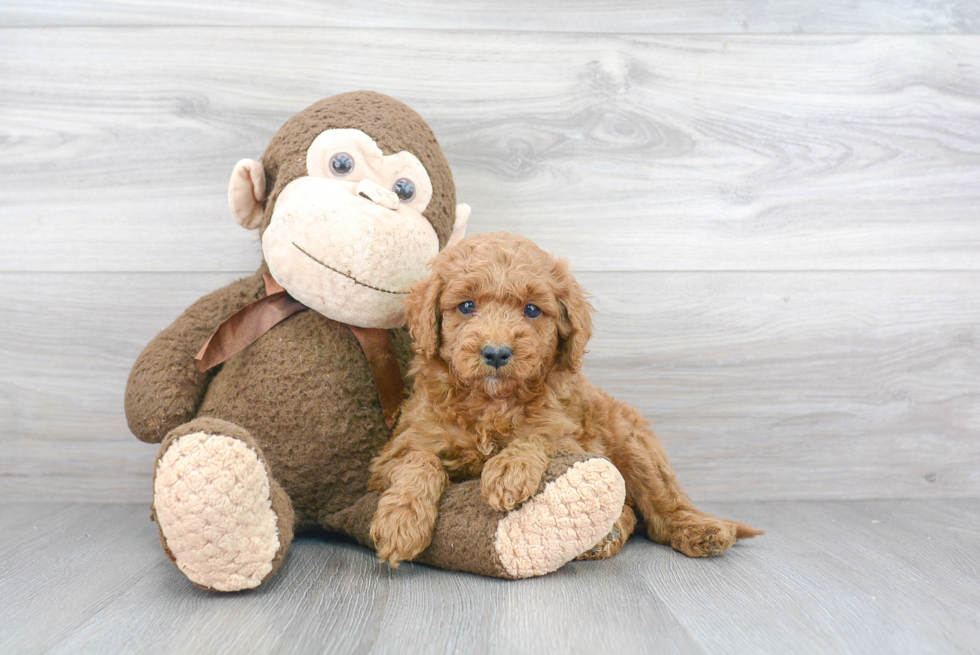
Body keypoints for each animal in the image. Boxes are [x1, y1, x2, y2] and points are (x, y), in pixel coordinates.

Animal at [372, 232, 760, 568]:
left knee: (662, 509)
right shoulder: (394, 453)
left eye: (531, 310)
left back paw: (700, 530)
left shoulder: (570, 436)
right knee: (631, 512)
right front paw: (400, 523)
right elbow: (420, 461)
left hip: (635, 447)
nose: (496, 353)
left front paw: (509, 470)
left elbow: (539, 437)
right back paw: (608, 535)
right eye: (466, 306)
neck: (493, 403)